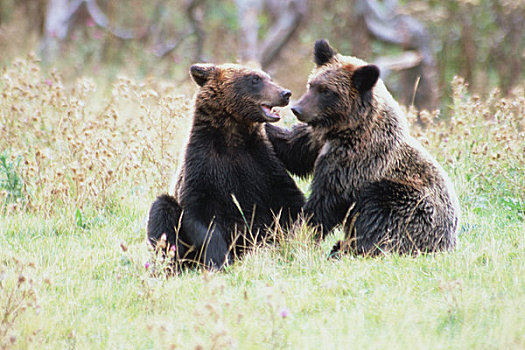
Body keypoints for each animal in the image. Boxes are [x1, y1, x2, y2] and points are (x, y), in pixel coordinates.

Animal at [146, 63, 302, 270]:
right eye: (254, 79)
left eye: (268, 77)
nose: (285, 93)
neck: (232, 137)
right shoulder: (202, 164)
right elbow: (199, 214)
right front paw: (219, 258)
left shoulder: (262, 164)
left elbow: (290, 202)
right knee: (163, 210)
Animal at [266, 39, 458, 256]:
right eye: (312, 84)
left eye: (327, 91)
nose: (297, 109)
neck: (344, 129)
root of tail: (449, 243)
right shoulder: (317, 141)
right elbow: (293, 149)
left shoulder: (354, 162)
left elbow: (325, 202)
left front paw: (297, 236)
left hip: (407, 201)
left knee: (380, 215)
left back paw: (347, 248)